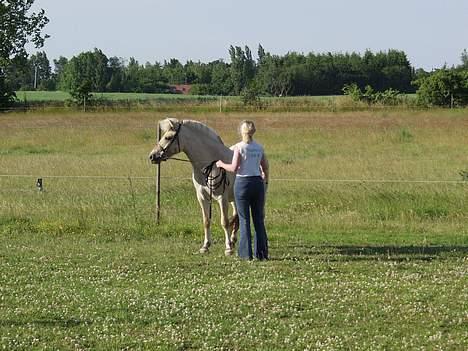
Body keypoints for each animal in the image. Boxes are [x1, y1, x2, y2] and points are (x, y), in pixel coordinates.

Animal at [149, 118, 239, 256]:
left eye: (168, 137)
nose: (152, 156)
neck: (211, 163)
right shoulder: (201, 197)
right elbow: (206, 221)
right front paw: (205, 246)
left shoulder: (221, 198)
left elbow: (224, 222)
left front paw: (228, 248)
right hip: (233, 199)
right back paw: (234, 239)